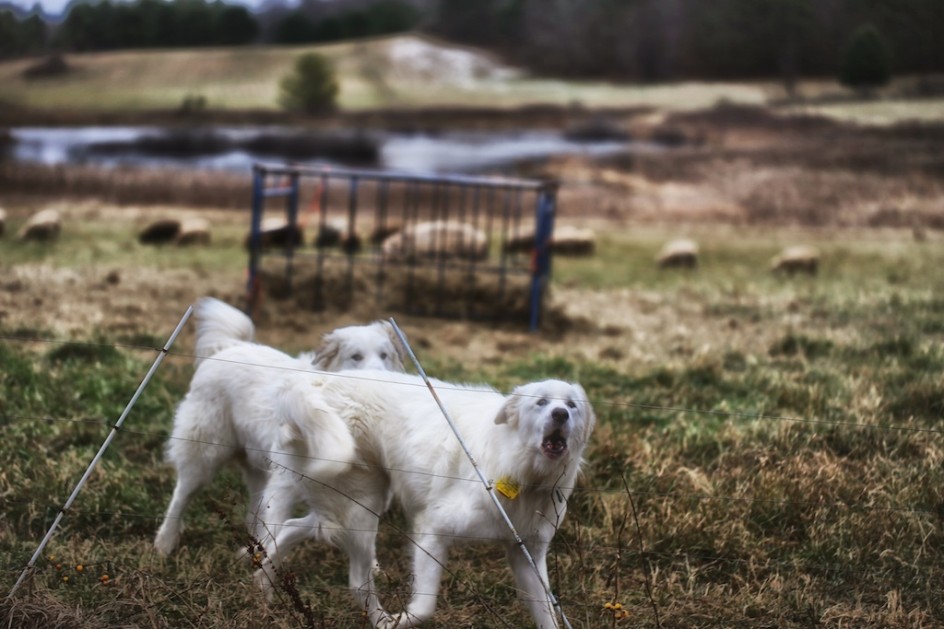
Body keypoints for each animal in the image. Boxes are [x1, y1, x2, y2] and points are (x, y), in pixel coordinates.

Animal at [153, 296, 404, 552]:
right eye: (356, 356)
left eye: (384, 355)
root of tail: (229, 346)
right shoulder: (285, 483)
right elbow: (276, 525)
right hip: (204, 455)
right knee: (181, 495)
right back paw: (164, 543)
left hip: (257, 467)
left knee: (254, 509)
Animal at [254, 370, 592, 628]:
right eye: (541, 402)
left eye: (571, 406)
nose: (560, 414)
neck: (522, 472)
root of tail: (315, 383)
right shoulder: (433, 530)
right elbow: (425, 606)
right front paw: (399, 621)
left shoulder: (526, 555)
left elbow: (547, 613)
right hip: (360, 509)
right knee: (358, 582)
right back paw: (381, 621)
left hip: (348, 505)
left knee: (293, 528)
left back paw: (264, 591)